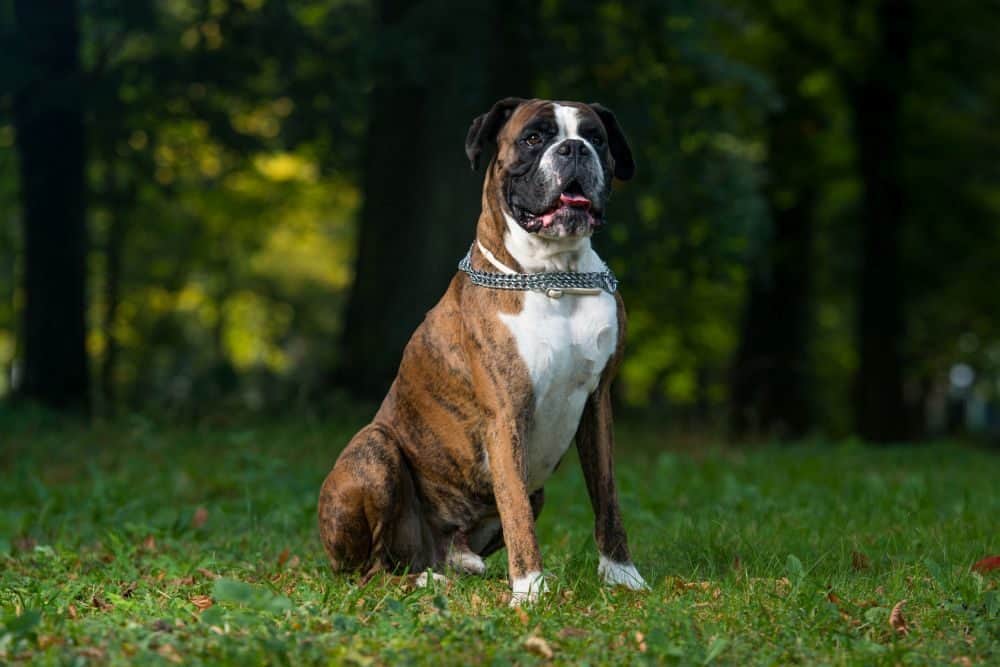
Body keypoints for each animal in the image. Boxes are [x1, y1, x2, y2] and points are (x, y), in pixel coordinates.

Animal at [320, 98, 648, 604]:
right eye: (534, 138)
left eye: (595, 137)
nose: (574, 148)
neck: (554, 277)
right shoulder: (506, 416)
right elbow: (516, 514)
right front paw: (530, 590)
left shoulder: (597, 406)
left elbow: (607, 499)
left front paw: (621, 575)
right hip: (374, 451)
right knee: (371, 570)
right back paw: (422, 580)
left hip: (532, 492)